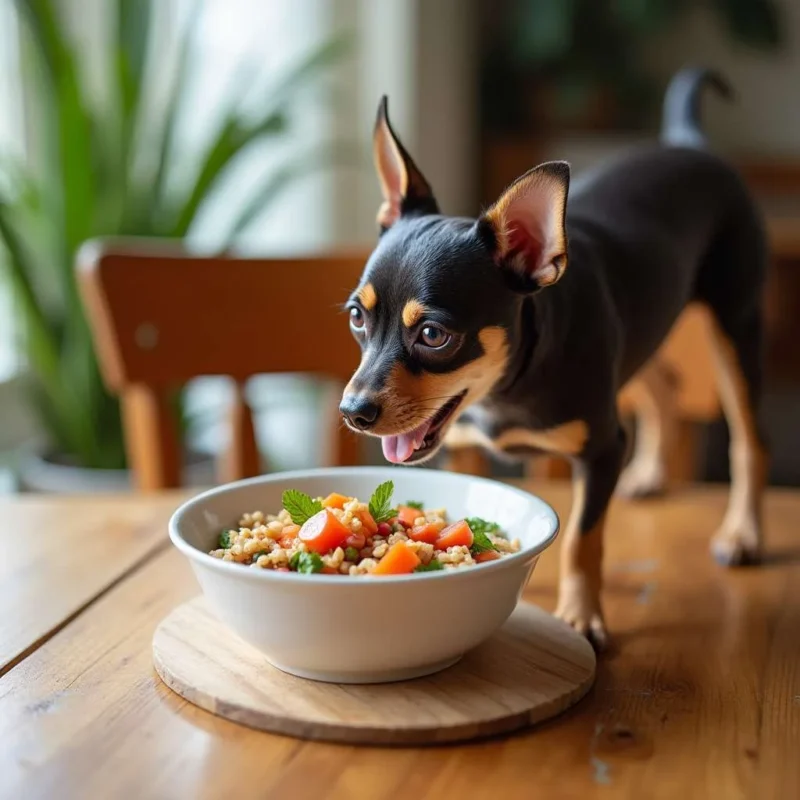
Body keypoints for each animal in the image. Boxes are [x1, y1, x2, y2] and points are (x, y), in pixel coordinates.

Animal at [338, 65, 768, 648]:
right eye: (357, 318)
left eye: (433, 335)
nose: (352, 411)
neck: (504, 390)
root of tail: (688, 141)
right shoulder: (466, 448)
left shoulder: (603, 450)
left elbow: (583, 540)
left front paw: (581, 617)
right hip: (642, 332)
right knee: (665, 387)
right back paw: (651, 474)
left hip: (735, 325)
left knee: (749, 440)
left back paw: (743, 533)